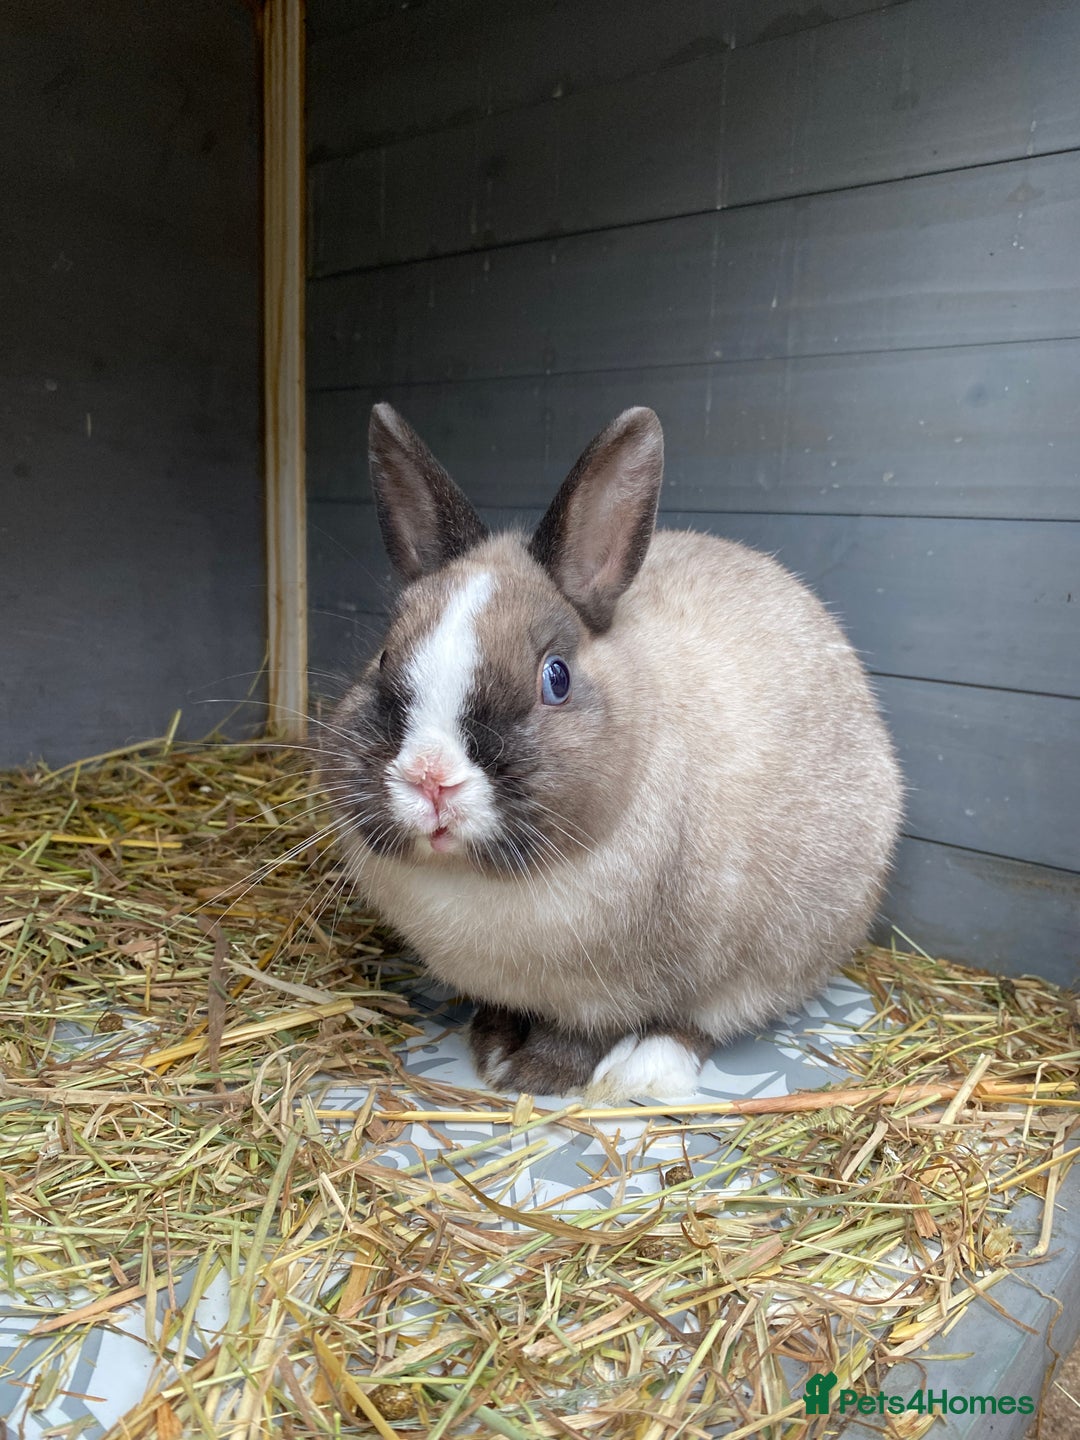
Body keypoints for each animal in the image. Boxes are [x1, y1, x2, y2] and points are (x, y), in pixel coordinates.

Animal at [321, 402, 903, 1102]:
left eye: (557, 677)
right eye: (383, 658)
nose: (430, 778)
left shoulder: (613, 992)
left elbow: (590, 1031)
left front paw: (539, 1072)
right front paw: (492, 1045)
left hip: (789, 948)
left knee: (714, 1017)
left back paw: (648, 1068)